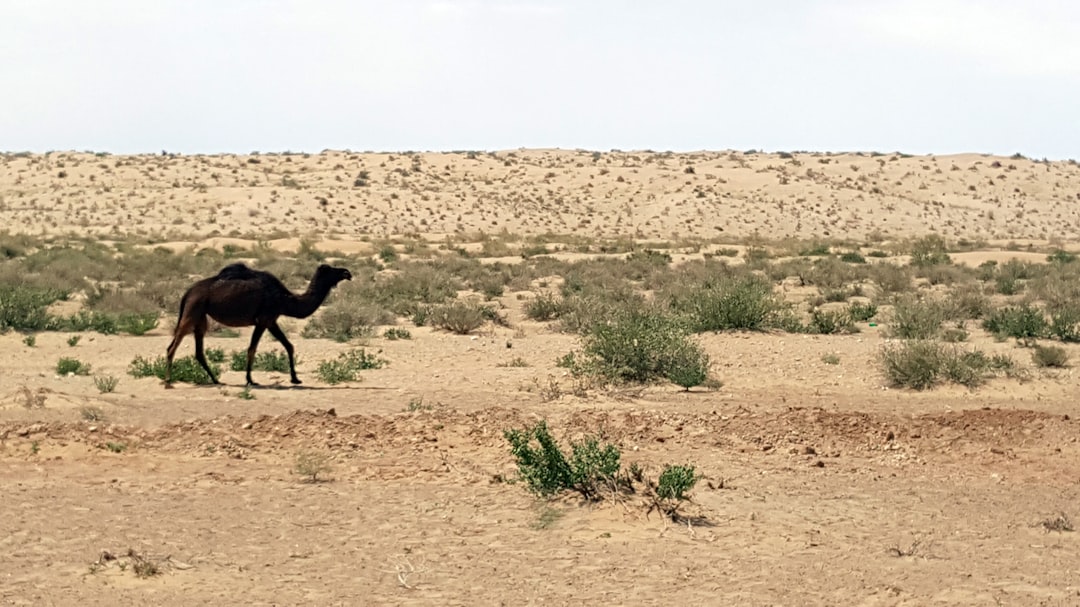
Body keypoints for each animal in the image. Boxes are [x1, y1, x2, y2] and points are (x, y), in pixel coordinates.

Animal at [164, 261, 352, 384]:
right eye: (330, 269)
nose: (347, 273)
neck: (284, 299)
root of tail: (188, 292)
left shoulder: (271, 321)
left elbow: (289, 346)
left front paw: (295, 378)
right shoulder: (263, 320)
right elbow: (252, 349)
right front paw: (250, 380)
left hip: (200, 315)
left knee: (198, 349)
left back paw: (216, 380)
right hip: (192, 309)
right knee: (174, 344)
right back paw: (168, 380)